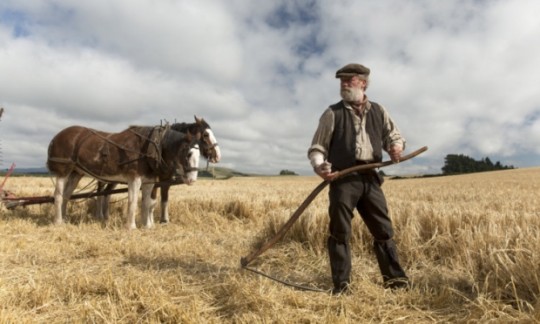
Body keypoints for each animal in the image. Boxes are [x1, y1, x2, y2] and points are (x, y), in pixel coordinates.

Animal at [47, 123, 199, 228]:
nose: (192, 179)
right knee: (58, 196)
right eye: (188, 153)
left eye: (199, 154)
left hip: (75, 173)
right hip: (63, 171)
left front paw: (147, 226)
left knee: (66, 195)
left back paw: (64, 218)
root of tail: (56, 137)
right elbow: (133, 202)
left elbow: (147, 202)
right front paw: (131, 226)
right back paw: (58, 221)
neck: (151, 146)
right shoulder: (134, 178)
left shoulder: (149, 181)